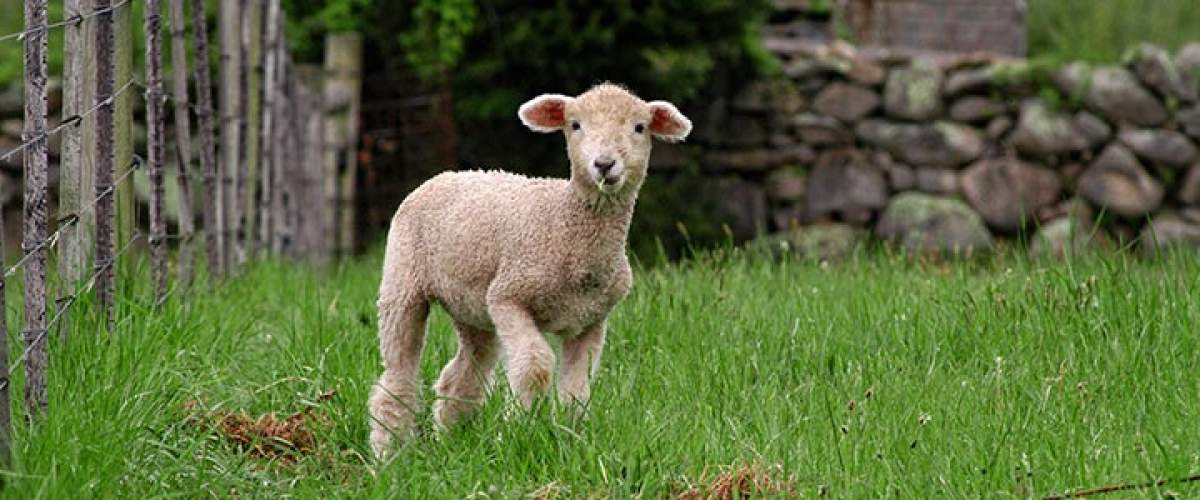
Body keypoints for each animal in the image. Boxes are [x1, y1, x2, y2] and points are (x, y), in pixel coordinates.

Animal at [367, 83, 692, 458]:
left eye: (639, 127)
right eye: (575, 125)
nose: (604, 164)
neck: (564, 222)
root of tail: (446, 174)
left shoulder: (592, 320)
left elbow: (577, 388)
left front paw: (570, 437)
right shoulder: (508, 296)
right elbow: (535, 366)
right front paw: (516, 429)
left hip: (471, 307)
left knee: (463, 372)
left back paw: (447, 438)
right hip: (403, 279)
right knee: (398, 373)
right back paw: (387, 451)